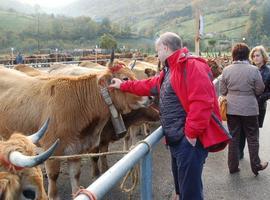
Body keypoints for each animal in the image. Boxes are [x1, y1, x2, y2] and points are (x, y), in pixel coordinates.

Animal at [0, 57, 150, 198]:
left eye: (133, 75)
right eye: (125, 78)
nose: (149, 97)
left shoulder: (76, 150)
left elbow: (76, 175)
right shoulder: (52, 150)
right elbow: (53, 176)